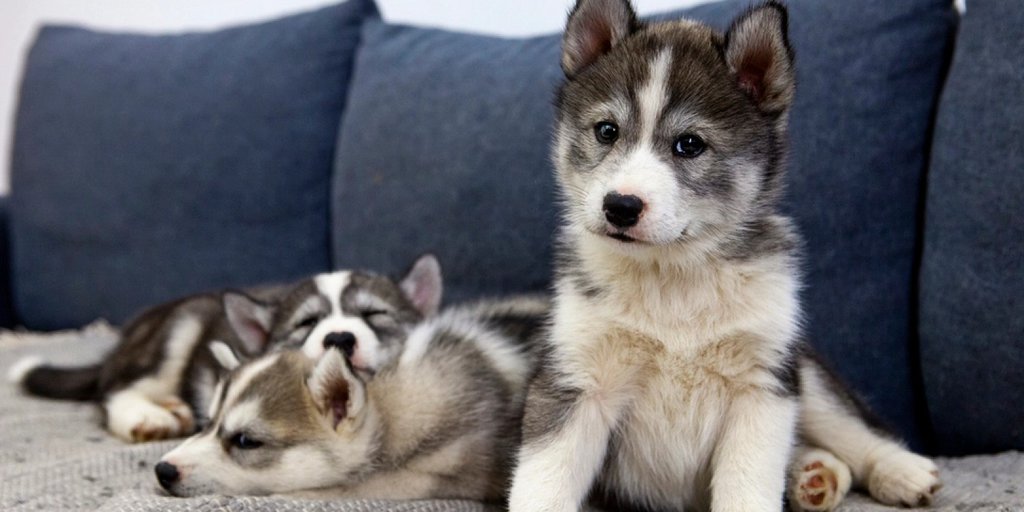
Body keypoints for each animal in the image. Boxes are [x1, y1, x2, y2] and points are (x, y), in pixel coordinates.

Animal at [507, 1, 937, 512]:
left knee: (854, 428)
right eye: (607, 131)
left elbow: (748, 485)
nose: (620, 206)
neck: (671, 280)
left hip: (803, 372)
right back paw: (814, 474)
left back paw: (895, 470)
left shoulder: (762, 386)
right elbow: (543, 483)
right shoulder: (575, 379)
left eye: (690, 144)